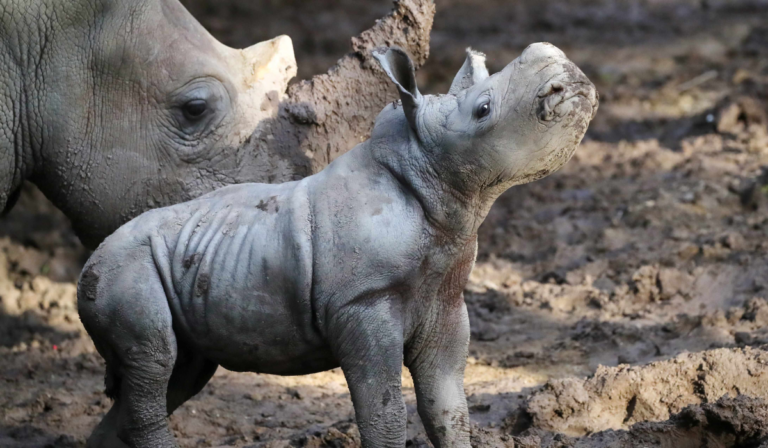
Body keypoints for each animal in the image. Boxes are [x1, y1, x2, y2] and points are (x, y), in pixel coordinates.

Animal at [79, 43, 600, 448]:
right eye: (484, 109)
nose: (568, 81)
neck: (429, 172)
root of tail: (89, 260)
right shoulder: (361, 302)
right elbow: (384, 412)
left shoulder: (445, 299)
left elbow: (447, 407)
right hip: (125, 269)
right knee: (154, 362)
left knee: (178, 372)